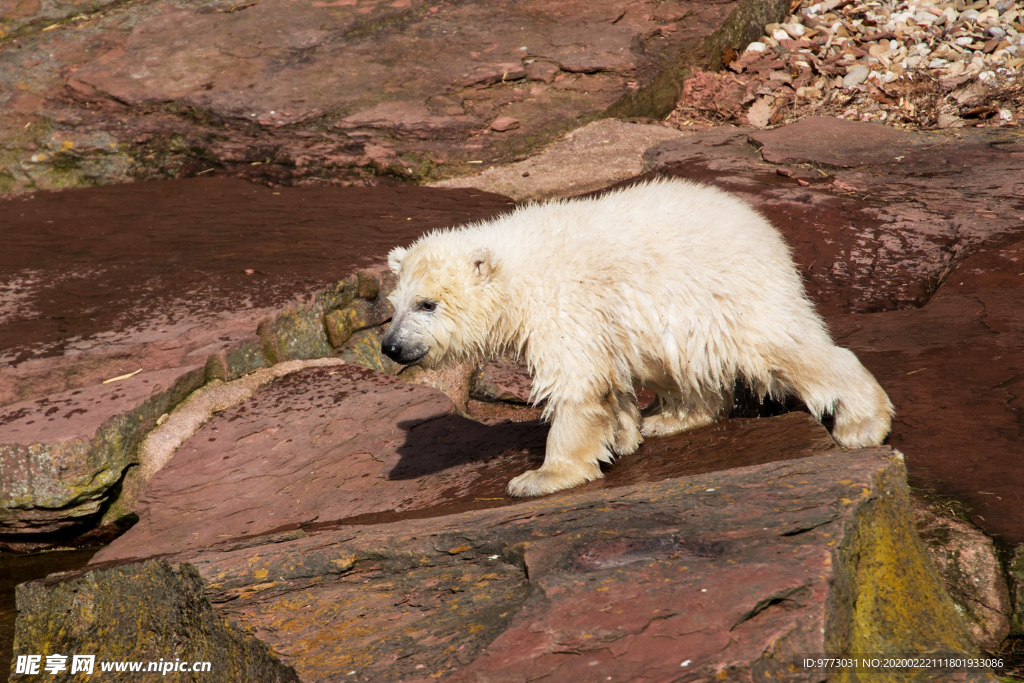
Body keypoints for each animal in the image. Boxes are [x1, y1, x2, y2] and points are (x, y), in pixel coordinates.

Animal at [380, 176, 892, 497]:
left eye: (428, 304)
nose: (391, 347)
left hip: (725, 293)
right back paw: (668, 417)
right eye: (395, 304)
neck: (516, 271)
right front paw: (624, 435)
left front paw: (540, 477)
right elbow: (608, 380)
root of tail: (766, 233)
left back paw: (862, 423)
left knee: (782, 346)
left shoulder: (563, 304)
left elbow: (575, 384)